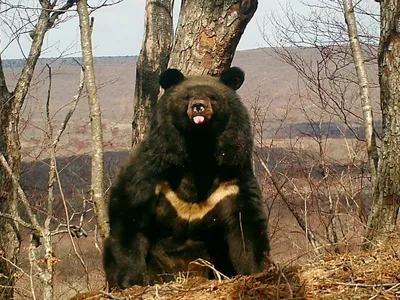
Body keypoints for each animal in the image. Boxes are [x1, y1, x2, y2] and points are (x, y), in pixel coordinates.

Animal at [104, 67, 270, 288]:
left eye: (213, 97)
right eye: (186, 97)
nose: (198, 106)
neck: (198, 149)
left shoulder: (231, 180)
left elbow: (246, 223)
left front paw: (255, 271)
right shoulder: (151, 171)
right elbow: (131, 213)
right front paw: (133, 281)